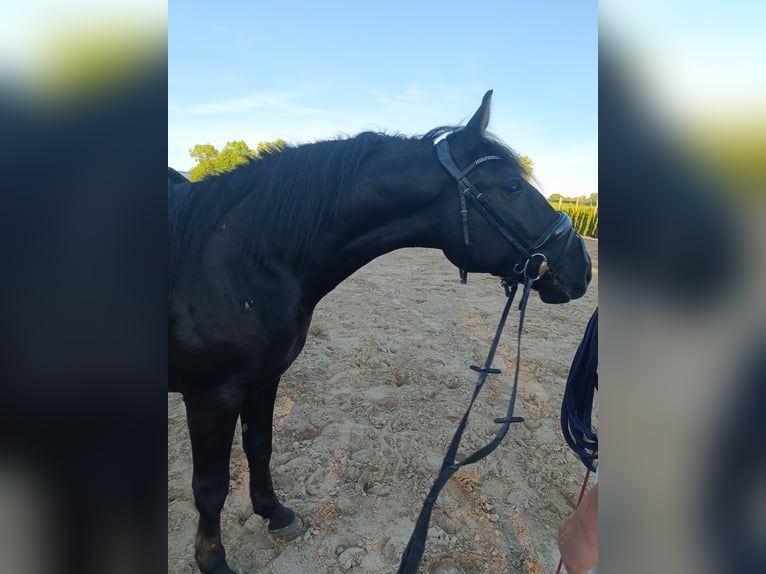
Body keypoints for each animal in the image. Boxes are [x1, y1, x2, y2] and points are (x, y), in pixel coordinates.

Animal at [168, 91, 592, 574]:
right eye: (512, 187)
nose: (582, 266)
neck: (236, 255)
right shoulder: (211, 396)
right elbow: (211, 487)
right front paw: (213, 560)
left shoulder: (263, 381)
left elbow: (260, 446)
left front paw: (274, 513)